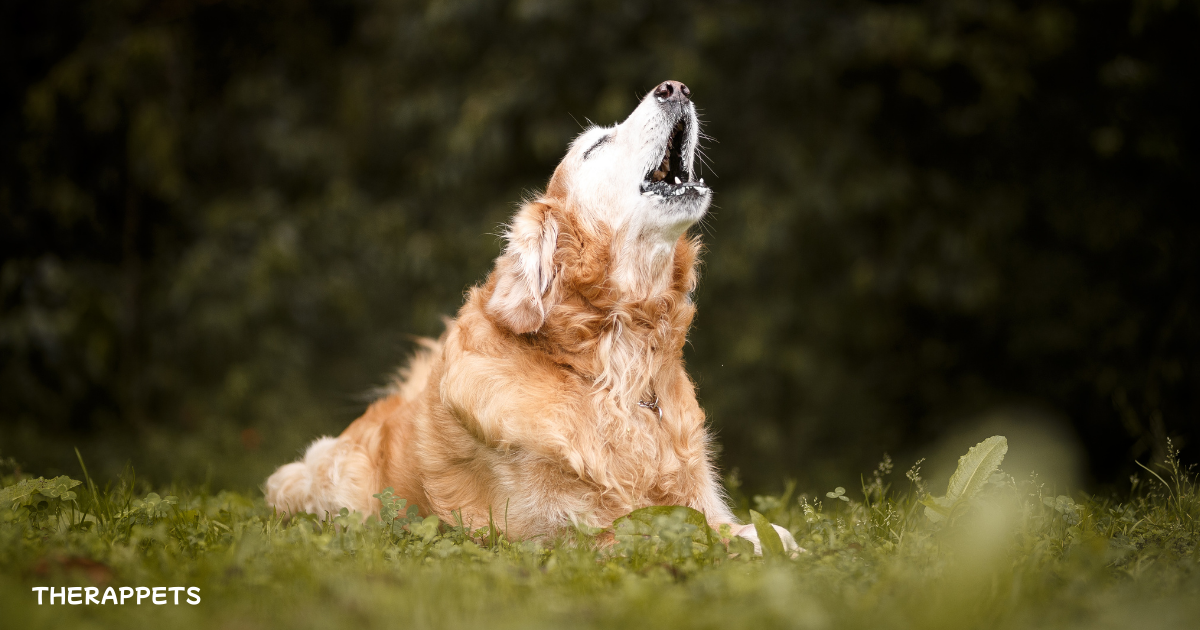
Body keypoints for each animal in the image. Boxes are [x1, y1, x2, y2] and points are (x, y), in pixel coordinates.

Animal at [267, 79, 801, 554]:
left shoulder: (699, 499)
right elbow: (670, 536)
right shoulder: (558, 533)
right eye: (596, 146)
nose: (676, 88)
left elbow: (753, 529)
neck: (614, 366)